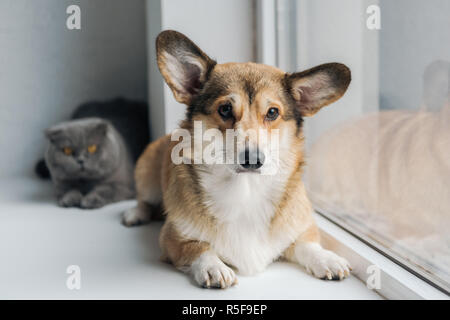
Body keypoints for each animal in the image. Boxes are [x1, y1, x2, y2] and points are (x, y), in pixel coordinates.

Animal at [122, 30, 352, 288]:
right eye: (224, 109)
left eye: (272, 112)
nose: (253, 159)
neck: (246, 191)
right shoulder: (173, 238)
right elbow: (199, 247)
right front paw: (213, 267)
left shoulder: (303, 228)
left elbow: (308, 244)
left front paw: (327, 259)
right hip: (147, 176)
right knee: (143, 200)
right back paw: (134, 214)